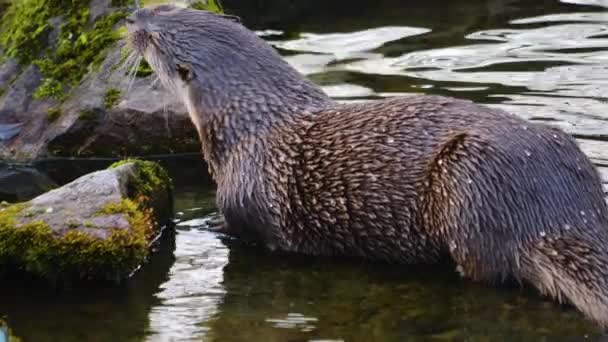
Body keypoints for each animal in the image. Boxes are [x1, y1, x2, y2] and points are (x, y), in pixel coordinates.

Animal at [126, 4, 608, 326]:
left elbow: (243, 232)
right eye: (167, 6)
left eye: (155, 36)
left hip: (470, 179)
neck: (249, 130)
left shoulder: (245, 198)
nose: (132, 16)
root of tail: (560, 212)